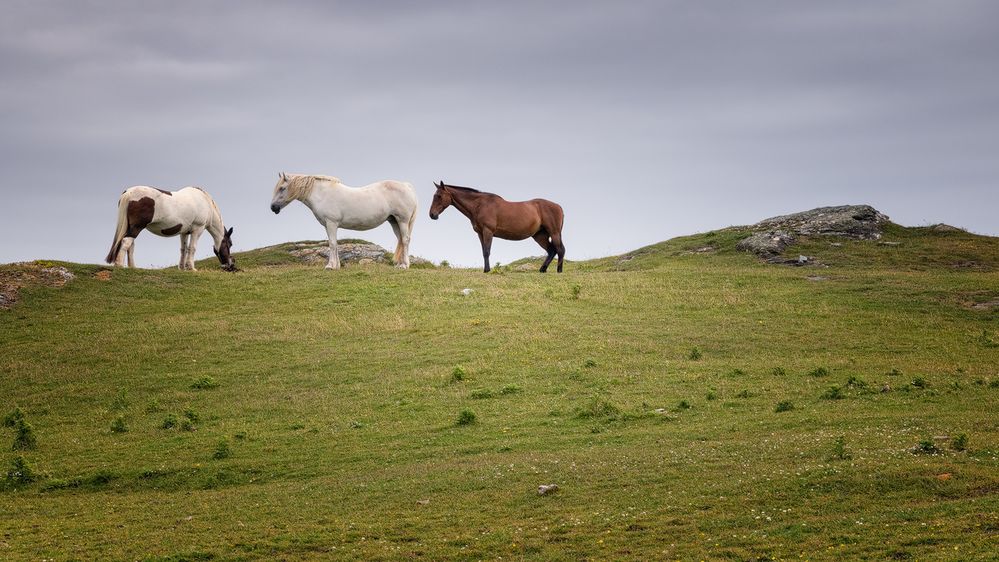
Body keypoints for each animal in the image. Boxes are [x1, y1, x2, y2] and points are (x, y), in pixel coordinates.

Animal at [104, 185, 235, 270]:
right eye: (230, 244)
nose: (230, 265)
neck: (205, 202)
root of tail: (129, 192)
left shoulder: (184, 232)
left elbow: (183, 249)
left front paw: (182, 268)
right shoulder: (197, 229)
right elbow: (192, 248)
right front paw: (192, 268)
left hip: (132, 227)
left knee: (130, 245)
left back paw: (132, 267)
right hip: (137, 227)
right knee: (126, 242)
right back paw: (120, 265)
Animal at [270, 172, 418, 268]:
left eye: (282, 188)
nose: (273, 207)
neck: (322, 194)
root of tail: (406, 186)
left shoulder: (331, 223)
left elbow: (332, 244)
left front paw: (330, 266)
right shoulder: (328, 225)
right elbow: (334, 243)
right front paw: (336, 265)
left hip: (403, 221)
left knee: (405, 240)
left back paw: (404, 265)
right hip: (394, 221)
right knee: (401, 240)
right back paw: (400, 264)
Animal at [430, 180, 568, 272]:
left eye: (439, 196)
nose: (432, 214)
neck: (479, 205)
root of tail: (559, 207)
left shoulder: (488, 231)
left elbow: (487, 251)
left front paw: (487, 270)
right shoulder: (480, 233)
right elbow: (483, 251)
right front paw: (486, 269)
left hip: (554, 233)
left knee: (560, 250)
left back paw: (559, 271)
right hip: (540, 235)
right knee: (551, 250)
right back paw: (542, 269)